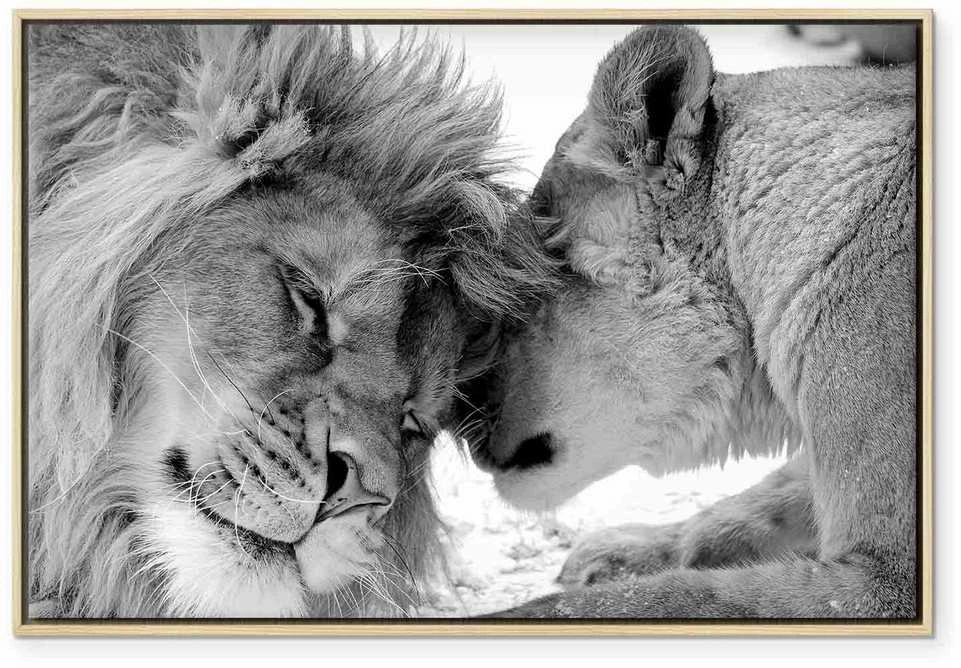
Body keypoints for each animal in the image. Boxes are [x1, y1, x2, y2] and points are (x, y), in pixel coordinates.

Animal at [466, 26, 918, 618]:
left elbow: (668, 598)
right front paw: (623, 549)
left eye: (520, 289)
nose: (455, 416)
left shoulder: (886, 582)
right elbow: (754, 506)